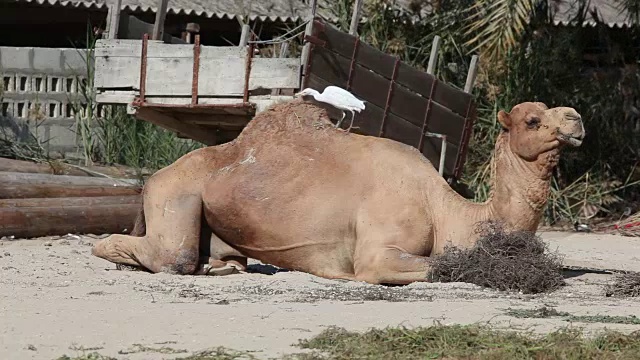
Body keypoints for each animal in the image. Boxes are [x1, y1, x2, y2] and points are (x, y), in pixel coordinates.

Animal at [91, 99, 584, 284]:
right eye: (533, 120)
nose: (576, 118)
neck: (448, 210)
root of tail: (154, 176)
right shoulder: (377, 252)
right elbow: (438, 267)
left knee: (225, 261)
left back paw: (219, 267)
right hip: (176, 193)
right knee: (168, 256)